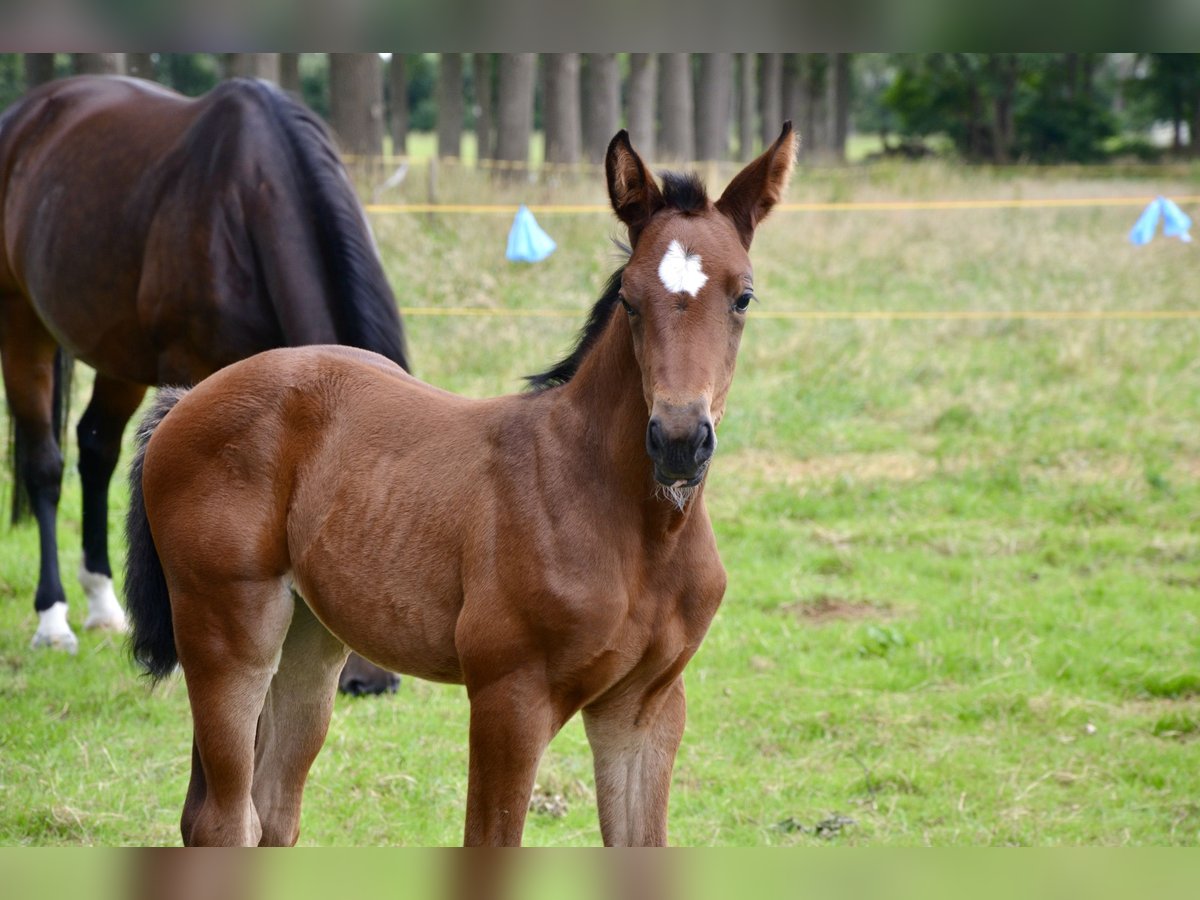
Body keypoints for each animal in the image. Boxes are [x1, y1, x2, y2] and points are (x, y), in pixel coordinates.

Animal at [1, 75, 403, 691]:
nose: (371, 681)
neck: (245, 204)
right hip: (21, 322)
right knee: (45, 464)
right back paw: (54, 620)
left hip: (118, 354)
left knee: (96, 448)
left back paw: (102, 604)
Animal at [126, 121, 796, 844]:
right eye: (629, 298)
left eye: (743, 296)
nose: (678, 440)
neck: (636, 532)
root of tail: (186, 400)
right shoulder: (508, 696)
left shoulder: (646, 708)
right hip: (227, 634)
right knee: (223, 821)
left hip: (310, 643)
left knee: (272, 809)